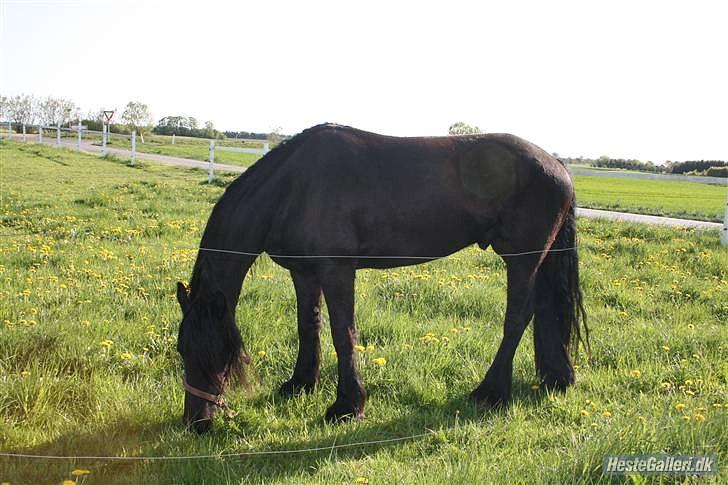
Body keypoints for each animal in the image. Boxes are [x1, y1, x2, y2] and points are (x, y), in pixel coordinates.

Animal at [176, 123, 584, 432]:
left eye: (216, 352)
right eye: (182, 350)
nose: (197, 423)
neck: (292, 186)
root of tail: (558, 165)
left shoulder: (336, 270)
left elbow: (343, 334)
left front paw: (346, 406)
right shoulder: (304, 272)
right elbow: (308, 325)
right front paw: (299, 385)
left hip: (521, 258)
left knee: (518, 316)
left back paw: (491, 392)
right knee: (545, 309)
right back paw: (556, 377)